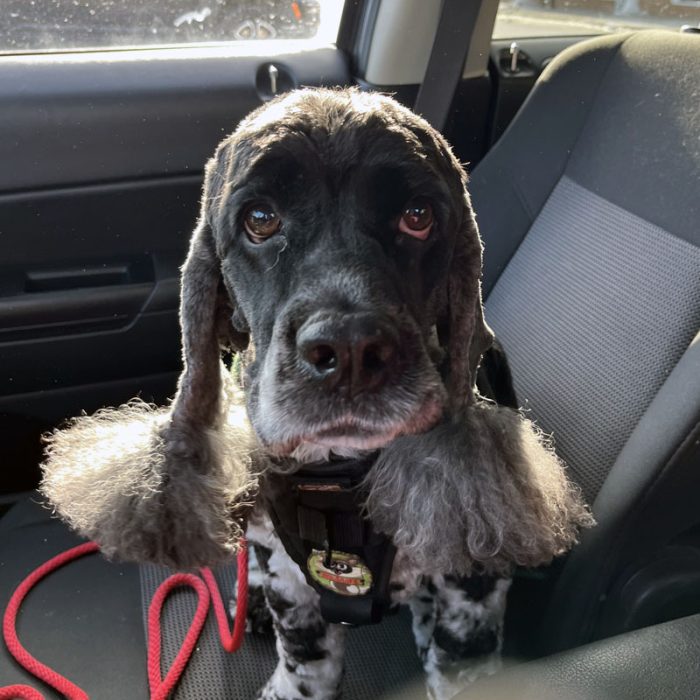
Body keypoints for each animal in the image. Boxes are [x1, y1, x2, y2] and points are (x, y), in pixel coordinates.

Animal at [41, 89, 592, 700]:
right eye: (260, 219)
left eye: (418, 217)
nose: (350, 350)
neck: (338, 475)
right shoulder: (289, 581)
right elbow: (306, 664)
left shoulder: (470, 585)